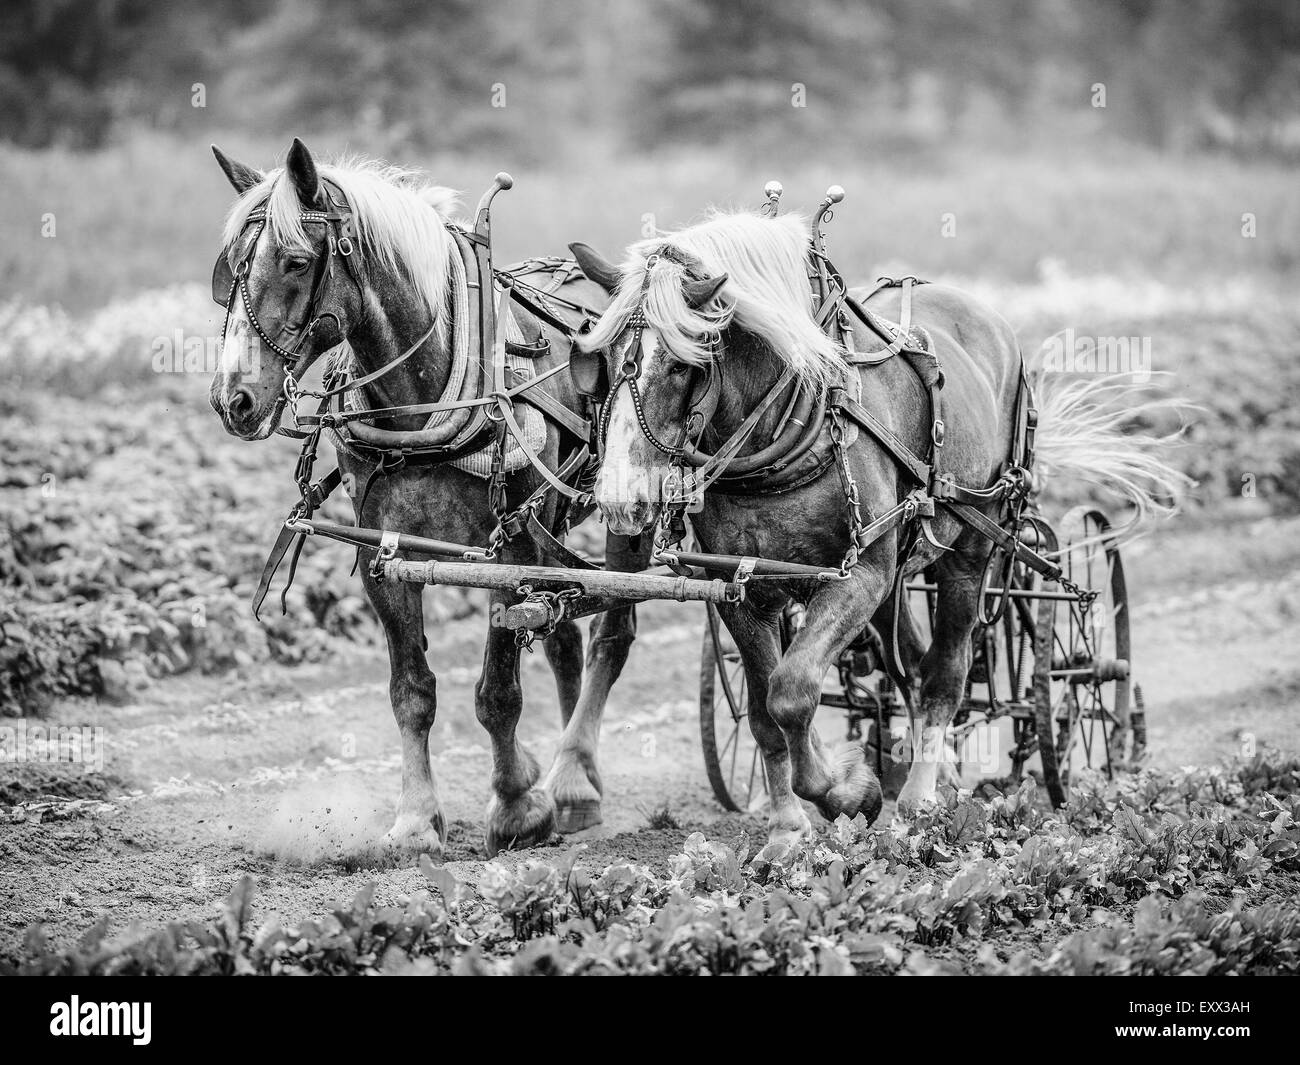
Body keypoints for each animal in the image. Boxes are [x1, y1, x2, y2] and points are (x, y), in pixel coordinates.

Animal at [207, 138, 648, 856]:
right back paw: (568, 776)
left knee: (613, 629)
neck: (429, 395)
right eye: (229, 270)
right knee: (564, 635)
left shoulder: (507, 554)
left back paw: (574, 778)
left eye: (295, 261)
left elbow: (497, 694)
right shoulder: (383, 553)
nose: (233, 399)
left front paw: (516, 807)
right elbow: (411, 691)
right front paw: (416, 819)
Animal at [570, 209, 1185, 845]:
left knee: (946, 672)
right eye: (599, 360)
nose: (619, 500)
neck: (792, 426)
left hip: (971, 545)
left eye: (680, 363)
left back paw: (920, 798)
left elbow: (792, 693)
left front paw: (848, 792)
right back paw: (938, 775)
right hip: (897, 572)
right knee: (908, 665)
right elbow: (765, 710)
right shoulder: (740, 587)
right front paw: (788, 825)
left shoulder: (859, 575)